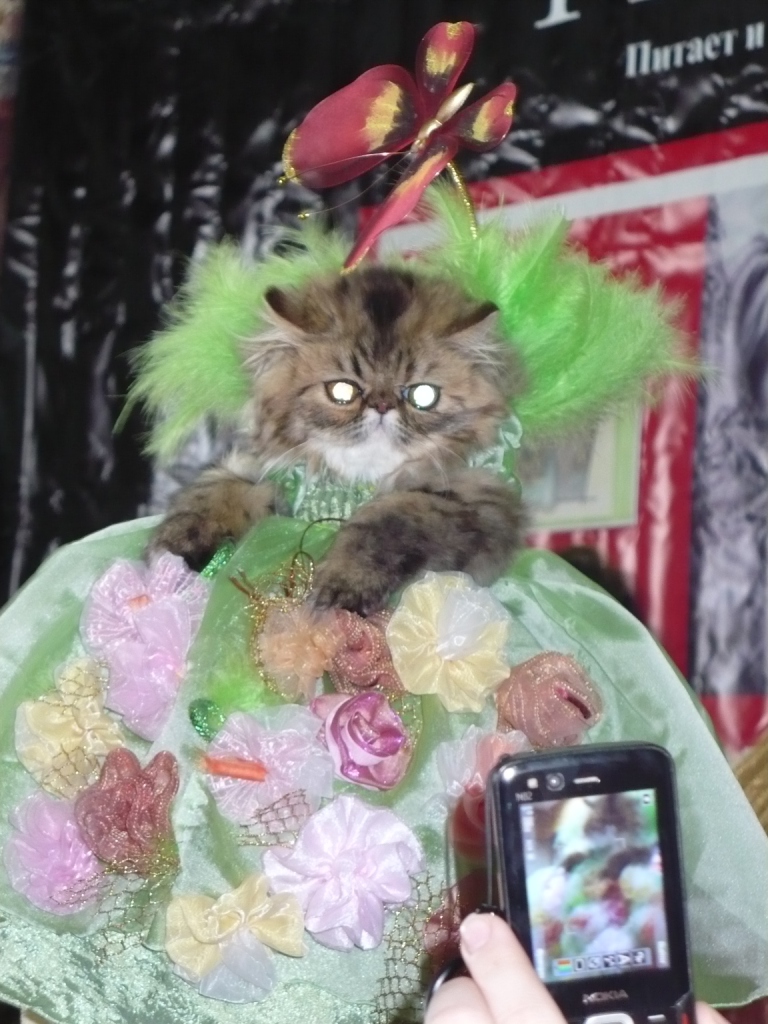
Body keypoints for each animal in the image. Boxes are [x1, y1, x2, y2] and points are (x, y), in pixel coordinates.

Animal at [151, 264, 527, 613]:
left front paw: (344, 584)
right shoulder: (267, 471)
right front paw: (172, 549)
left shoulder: (472, 504)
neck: (353, 484)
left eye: (423, 396)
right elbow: (212, 492)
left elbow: (384, 523)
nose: (382, 406)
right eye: (342, 391)